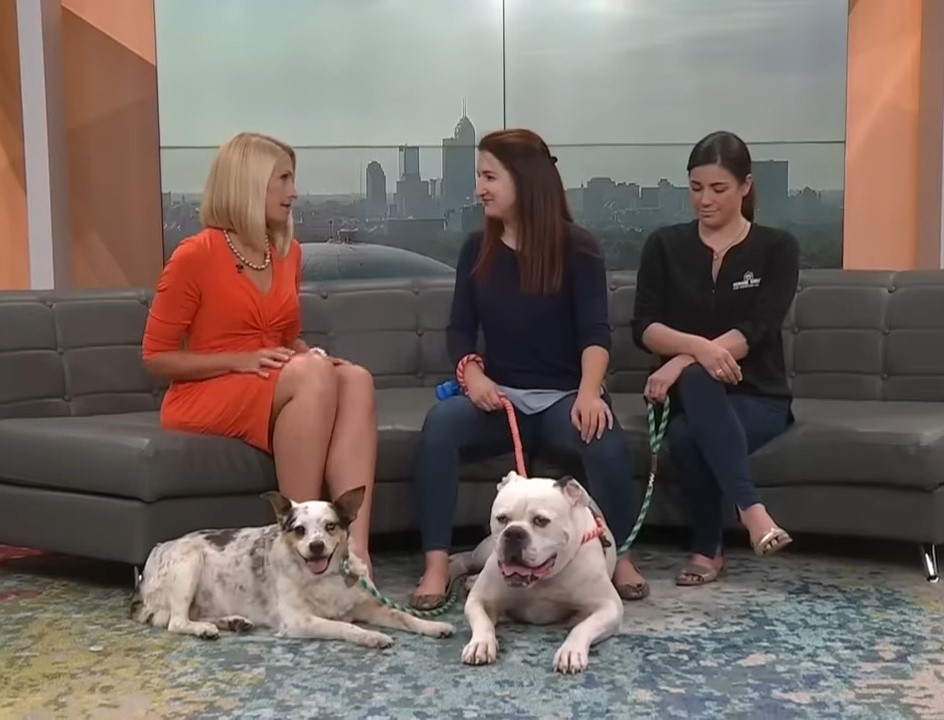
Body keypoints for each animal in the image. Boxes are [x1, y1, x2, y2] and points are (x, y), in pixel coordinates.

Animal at [131, 486, 456, 648]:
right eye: (299, 530)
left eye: (330, 526)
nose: (316, 546)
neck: (325, 578)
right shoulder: (299, 620)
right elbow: (345, 626)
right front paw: (371, 636)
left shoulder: (370, 607)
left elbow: (404, 617)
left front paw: (433, 626)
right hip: (189, 563)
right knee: (176, 621)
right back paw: (203, 630)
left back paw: (231, 621)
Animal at [450, 472, 628, 676]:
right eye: (501, 518)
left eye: (541, 521)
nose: (514, 532)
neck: (543, 580)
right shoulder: (478, 601)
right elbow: (483, 621)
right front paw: (481, 644)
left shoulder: (610, 607)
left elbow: (581, 627)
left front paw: (571, 651)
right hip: (482, 553)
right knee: (465, 558)